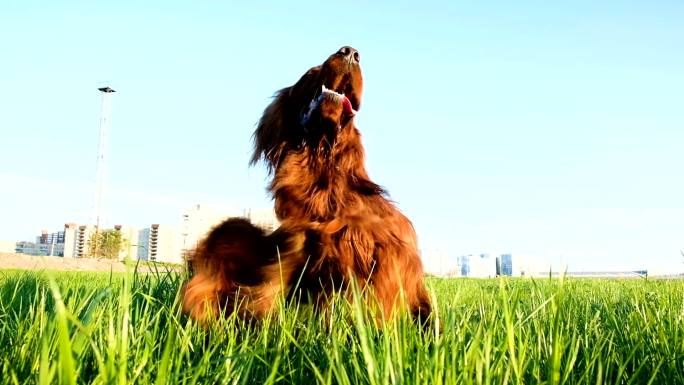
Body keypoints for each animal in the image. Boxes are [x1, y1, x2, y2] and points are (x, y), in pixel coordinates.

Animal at [179, 46, 430, 326]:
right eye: (311, 73)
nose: (350, 52)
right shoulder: (294, 247)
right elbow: (268, 296)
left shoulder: (389, 253)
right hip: (235, 228)